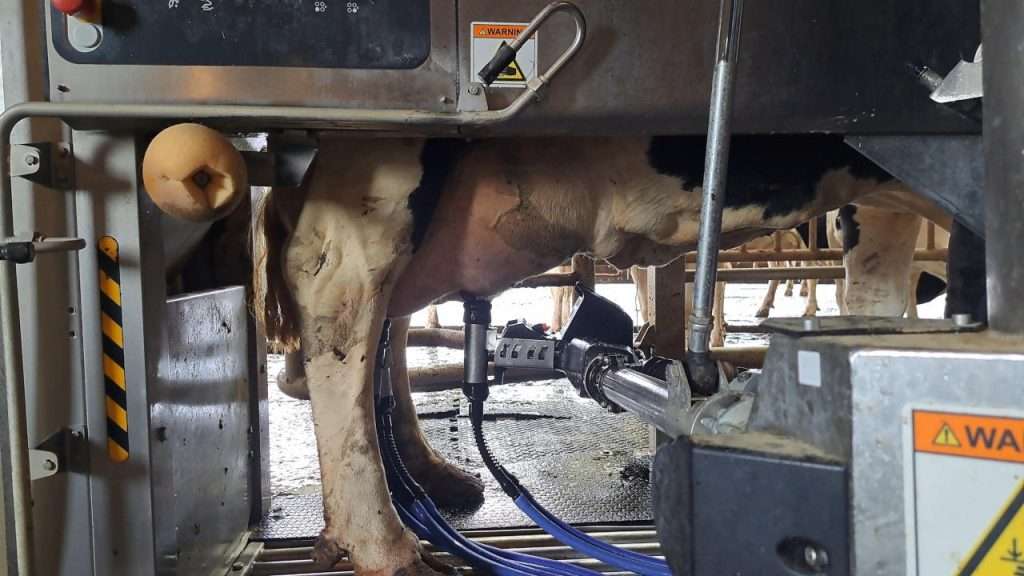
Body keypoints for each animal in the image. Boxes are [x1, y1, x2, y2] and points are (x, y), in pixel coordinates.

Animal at [253, 133, 937, 569]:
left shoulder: (884, 201)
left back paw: (431, 477)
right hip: (382, 163)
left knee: (385, 319)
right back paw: (386, 546)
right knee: (342, 294)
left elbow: (874, 298)